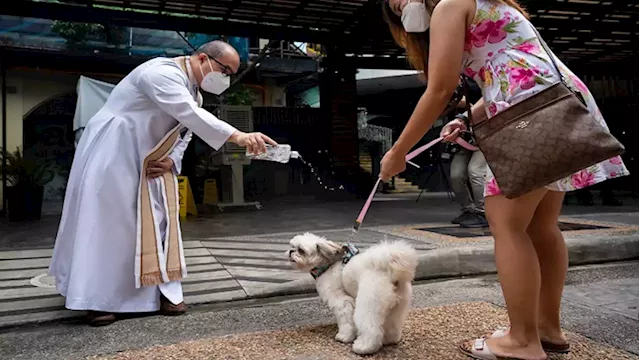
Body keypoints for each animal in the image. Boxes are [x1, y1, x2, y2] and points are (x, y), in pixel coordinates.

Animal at [286, 233, 418, 354]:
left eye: (301, 250)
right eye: (292, 246)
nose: (291, 251)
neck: (327, 265)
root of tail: (389, 271)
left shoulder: (341, 302)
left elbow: (346, 320)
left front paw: (344, 336)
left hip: (368, 304)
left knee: (370, 328)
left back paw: (364, 347)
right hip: (397, 306)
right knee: (392, 323)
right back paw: (388, 340)